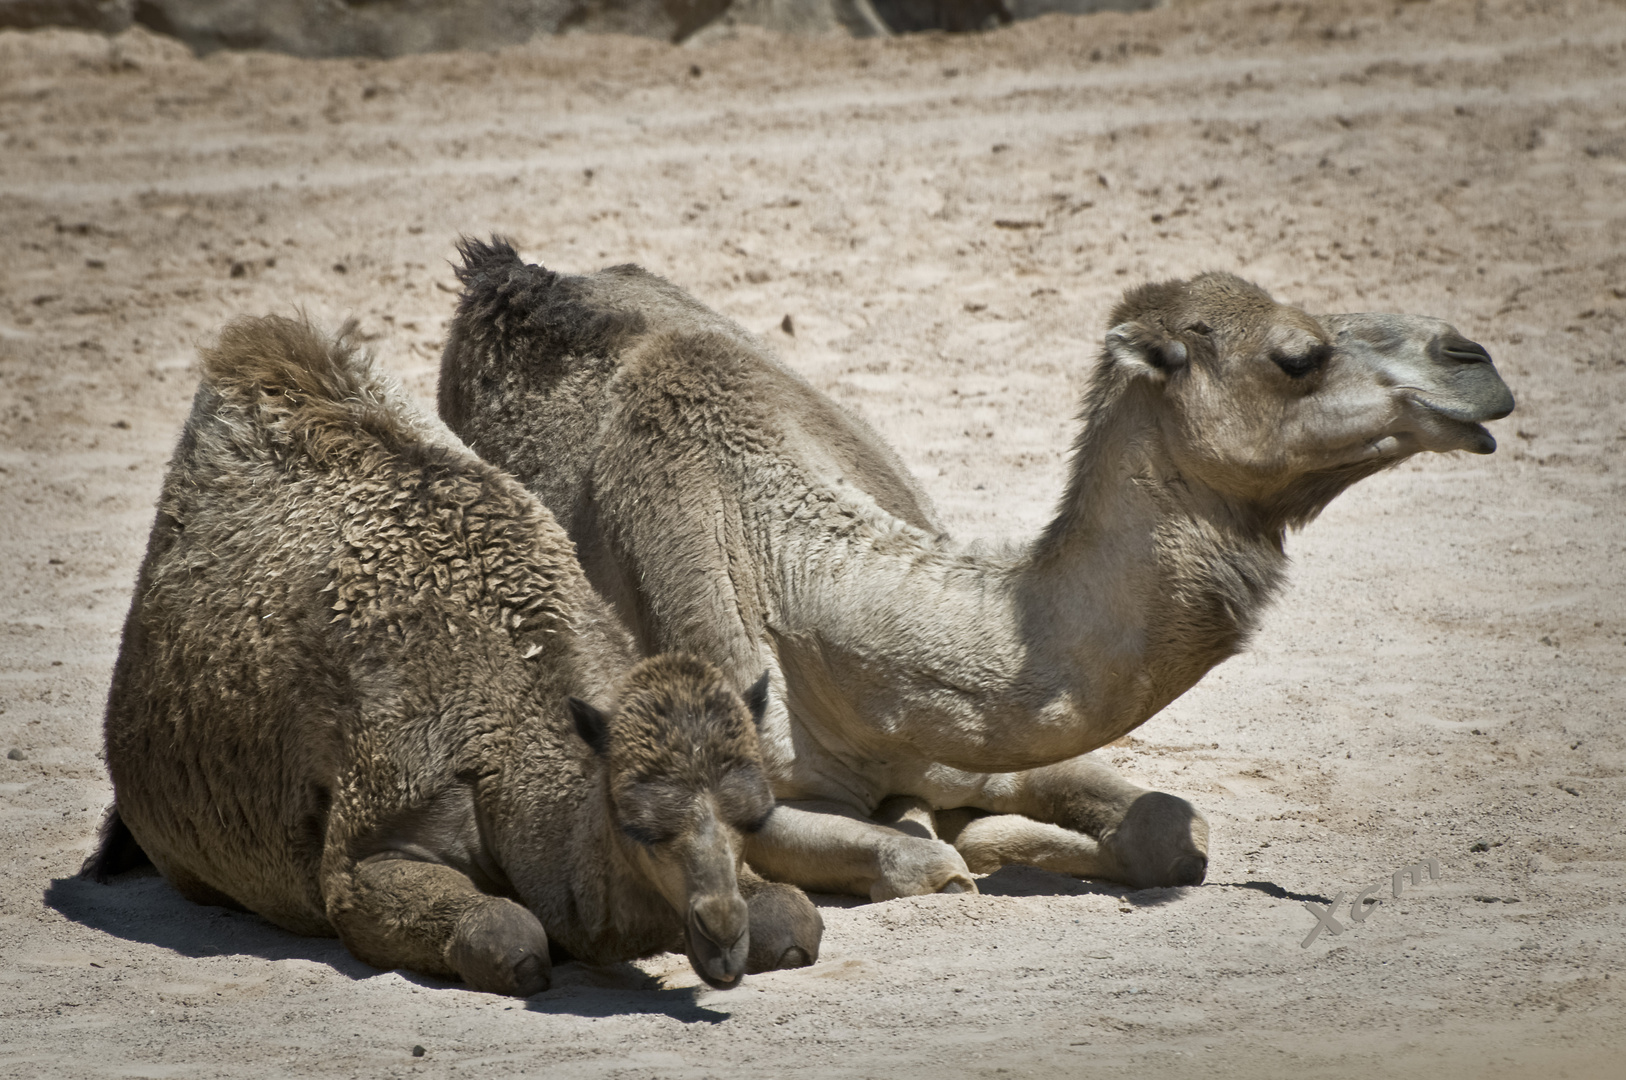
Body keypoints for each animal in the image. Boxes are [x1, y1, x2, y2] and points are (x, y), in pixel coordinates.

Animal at [87, 313, 819, 995]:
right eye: (636, 823)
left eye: (756, 814)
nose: (718, 934)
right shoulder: (364, 848)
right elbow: (507, 936)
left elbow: (797, 921)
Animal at [439, 239, 1515, 904]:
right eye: (1299, 355)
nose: (1475, 358)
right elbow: (918, 858)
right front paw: (961, 845)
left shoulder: (971, 734)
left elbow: (1172, 829)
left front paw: (1010, 836)